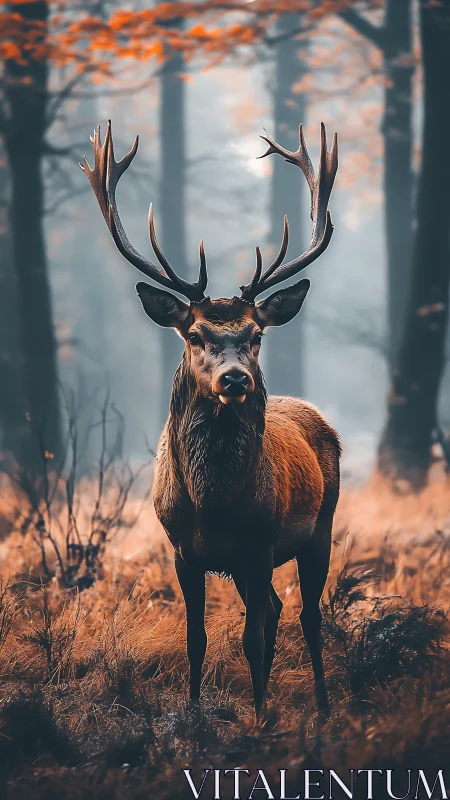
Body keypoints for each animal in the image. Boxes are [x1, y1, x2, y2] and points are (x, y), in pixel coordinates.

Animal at [81, 119, 340, 720]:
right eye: (196, 334)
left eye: (255, 334)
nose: (236, 380)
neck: (214, 503)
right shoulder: (182, 550)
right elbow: (196, 637)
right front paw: (196, 716)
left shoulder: (260, 544)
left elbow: (254, 638)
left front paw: (261, 719)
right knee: (276, 609)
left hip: (321, 526)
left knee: (307, 616)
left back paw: (320, 706)